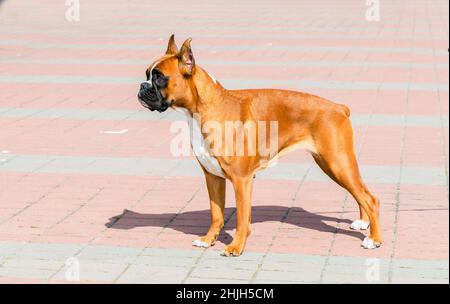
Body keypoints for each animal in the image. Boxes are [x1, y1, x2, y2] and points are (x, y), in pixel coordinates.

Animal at [136, 34, 380, 255]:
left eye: (159, 78)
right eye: (147, 74)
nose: (142, 86)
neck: (204, 108)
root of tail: (339, 107)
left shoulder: (241, 180)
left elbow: (242, 219)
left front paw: (235, 247)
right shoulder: (213, 177)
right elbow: (216, 214)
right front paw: (208, 240)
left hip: (338, 163)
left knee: (370, 198)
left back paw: (374, 239)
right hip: (332, 165)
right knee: (360, 192)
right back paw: (363, 223)